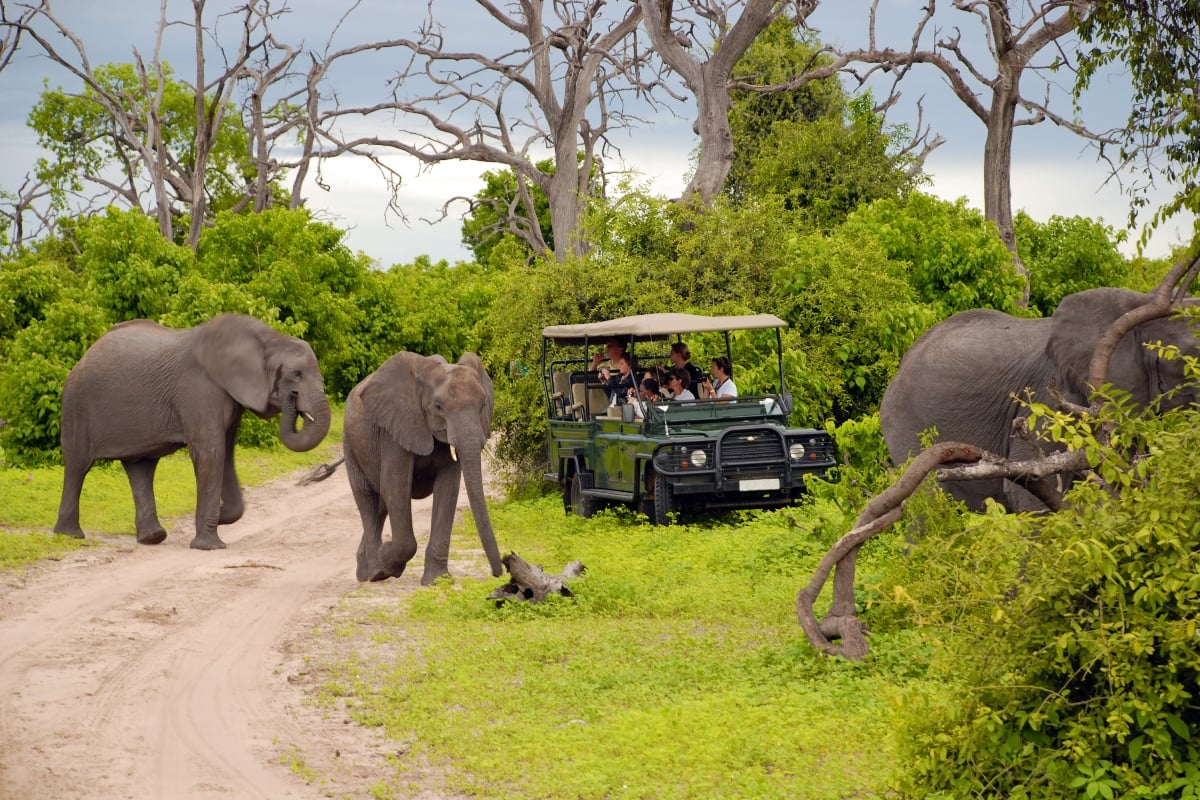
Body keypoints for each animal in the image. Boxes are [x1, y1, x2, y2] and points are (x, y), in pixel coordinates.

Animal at [54, 311, 331, 551]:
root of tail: (83, 357)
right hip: (77, 406)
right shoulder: (199, 389)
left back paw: (152, 538)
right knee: (78, 465)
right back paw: (70, 535)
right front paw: (210, 545)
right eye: (296, 375)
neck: (267, 338)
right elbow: (211, 452)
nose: (292, 398)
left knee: (141, 467)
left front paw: (220, 517)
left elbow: (226, 453)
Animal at [340, 352, 504, 585]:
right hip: (351, 444)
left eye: (482, 405)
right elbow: (396, 484)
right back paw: (376, 573)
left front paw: (437, 580)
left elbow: (448, 489)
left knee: (381, 503)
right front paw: (387, 561)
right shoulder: (394, 428)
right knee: (367, 499)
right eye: (438, 407)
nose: (499, 573)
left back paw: (365, 571)